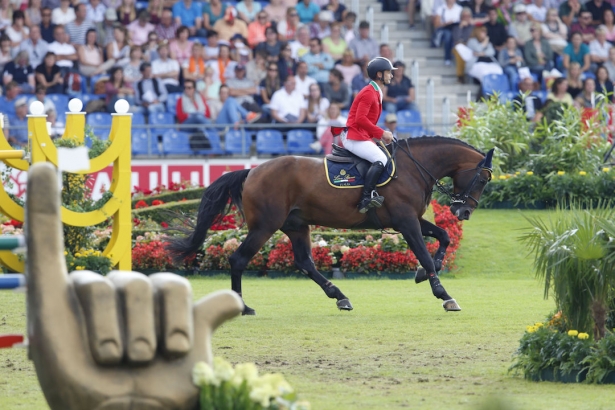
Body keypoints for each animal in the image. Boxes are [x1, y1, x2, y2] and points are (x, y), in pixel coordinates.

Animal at [165, 136, 496, 316]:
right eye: (482, 178)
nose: (464, 211)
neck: (413, 168)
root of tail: (252, 171)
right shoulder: (406, 222)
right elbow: (426, 254)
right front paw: (444, 294)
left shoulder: (412, 219)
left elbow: (443, 237)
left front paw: (425, 273)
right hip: (264, 226)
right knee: (238, 259)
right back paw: (243, 307)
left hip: (296, 226)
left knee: (304, 262)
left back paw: (340, 296)